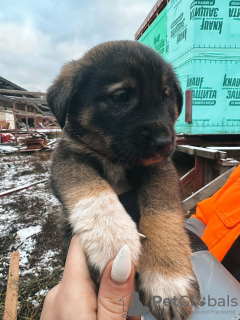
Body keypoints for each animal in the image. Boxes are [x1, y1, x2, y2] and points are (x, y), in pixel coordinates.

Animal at [47, 41, 201, 318]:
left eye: (165, 96)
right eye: (121, 97)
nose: (164, 143)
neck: (116, 158)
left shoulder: (160, 167)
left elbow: (162, 211)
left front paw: (168, 279)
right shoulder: (68, 157)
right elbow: (89, 187)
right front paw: (112, 237)